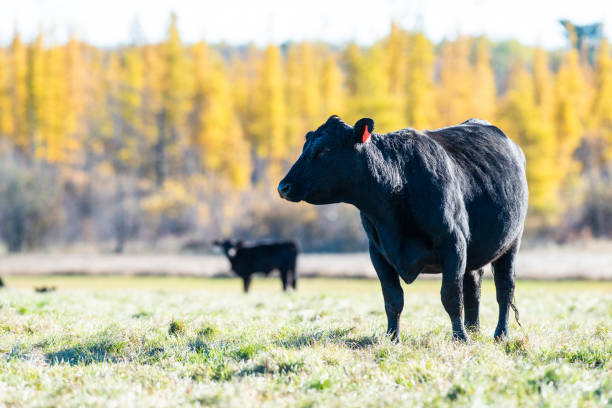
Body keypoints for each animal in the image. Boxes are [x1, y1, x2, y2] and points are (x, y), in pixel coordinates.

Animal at [280, 115, 528, 342]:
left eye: (323, 149)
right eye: (305, 147)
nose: (283, 187)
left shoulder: (454, 244)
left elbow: (450, 296)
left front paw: (460, 339)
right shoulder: (378, 252)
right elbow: (393, 298)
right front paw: (392, 338)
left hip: (511, 243)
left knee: (504, 289)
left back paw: (499, 334)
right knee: (473, 288)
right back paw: (474, 331)